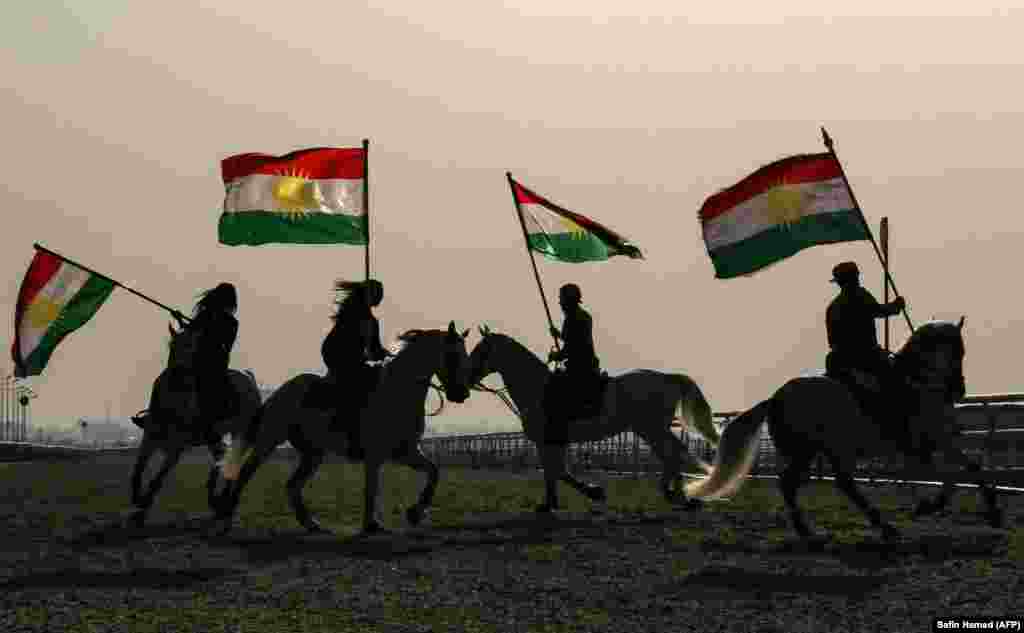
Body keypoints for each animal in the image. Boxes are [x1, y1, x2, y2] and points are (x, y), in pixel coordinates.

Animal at [126, 319, 262, 522]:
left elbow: (158, 478)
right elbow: (138, 470)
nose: (178, 375)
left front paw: (144, 504)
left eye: (192, 346)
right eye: (172, 345)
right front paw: (137, 499)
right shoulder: (149, 439)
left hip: (240, 430)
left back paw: (222, 500)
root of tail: (249, 380)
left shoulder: (176, 448)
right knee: (220, 455)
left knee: (230, 459)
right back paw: (214, 498)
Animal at [218, 323, 473, 536]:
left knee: (292, 486)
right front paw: (371, 525)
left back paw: (312, 525)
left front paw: (415, 513)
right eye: (453, 355)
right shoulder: (376, 455)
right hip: (268, 441)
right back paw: (227, 519)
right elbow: (371, 489)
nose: (461, 394)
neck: (398, 392)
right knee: (244, 474)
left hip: (313, 454)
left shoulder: (405, 452)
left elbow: (433, 472)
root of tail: (279, 392)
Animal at [468, 323, 716, 510]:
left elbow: (557, 471)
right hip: (649, 429)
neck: (537, 387)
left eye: (481, 350)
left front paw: (592, 492)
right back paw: (677, 494)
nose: (467, 379)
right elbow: (554, 472)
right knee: (672, 453)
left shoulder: (549, 440)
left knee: (673, 453)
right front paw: (550, 503)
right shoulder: (552, 442)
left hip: (650, 428)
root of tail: (667, 377)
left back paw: (677, 495)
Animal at [684, 317, 1003, 540]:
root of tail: (775, 397)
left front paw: (990, 511)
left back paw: (872, 527)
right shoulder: (926, 445)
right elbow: (954, 476)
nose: (958, 390)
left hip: (824, 450)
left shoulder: (940, 442)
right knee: (796, 484)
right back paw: (822, 531)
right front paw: (933, 506)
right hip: (808, 450)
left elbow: (968, 469)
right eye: (957, 351)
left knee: (837, 484)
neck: (919, 383)